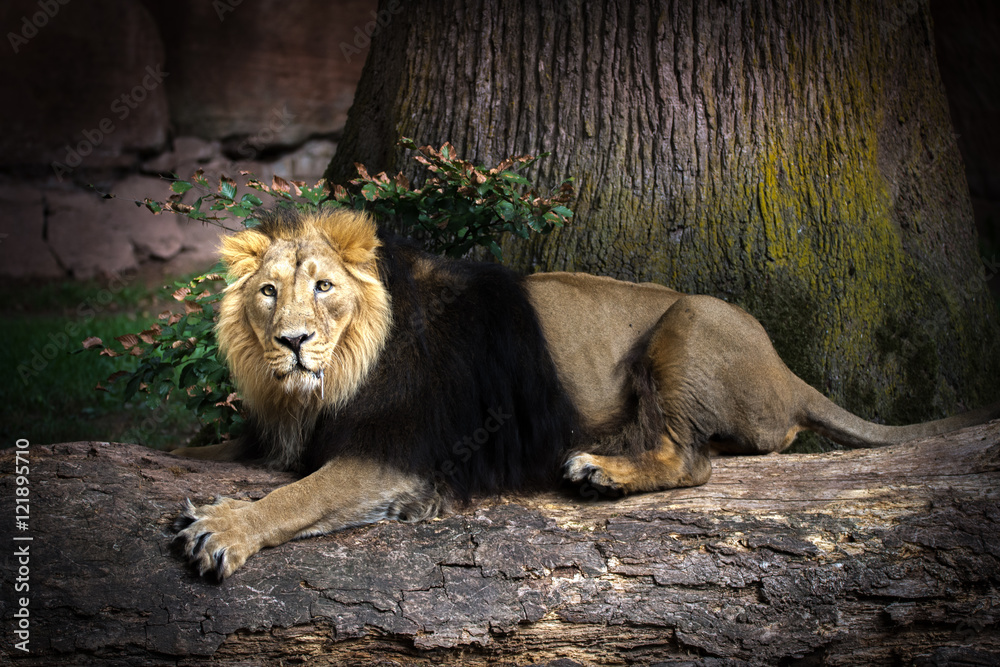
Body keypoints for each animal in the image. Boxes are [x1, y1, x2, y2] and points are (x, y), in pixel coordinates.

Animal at [172, 208, 999, 580]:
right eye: (269, 292)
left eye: (324, 288)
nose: (292, 342)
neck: (322, 385)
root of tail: (788, 371)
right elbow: (210, 449)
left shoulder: (396, 454)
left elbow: (299, 495)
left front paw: (225, 527)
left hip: (689, 320)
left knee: (691, 460)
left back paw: (601, 469)